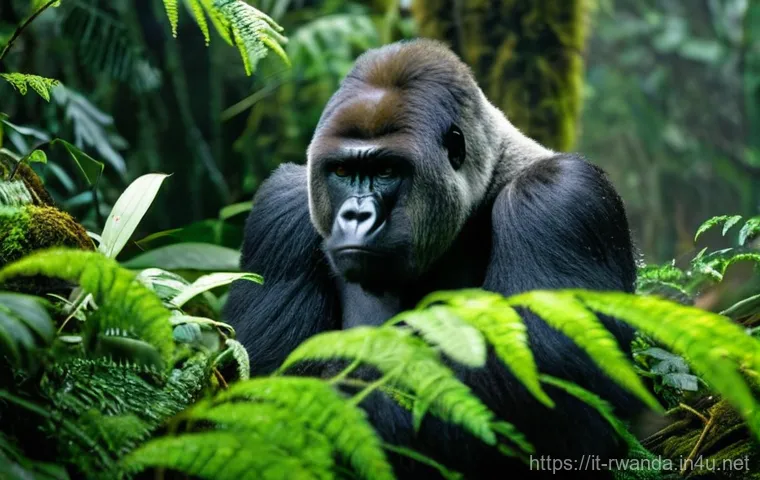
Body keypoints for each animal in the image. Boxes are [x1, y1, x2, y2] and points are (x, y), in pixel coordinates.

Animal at [223, 38, 646, 479]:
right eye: (341, 170)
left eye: (387, 170)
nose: (356, 215)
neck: (487, 177)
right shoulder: (282, 207)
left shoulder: (559, 198)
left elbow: (557, 400)